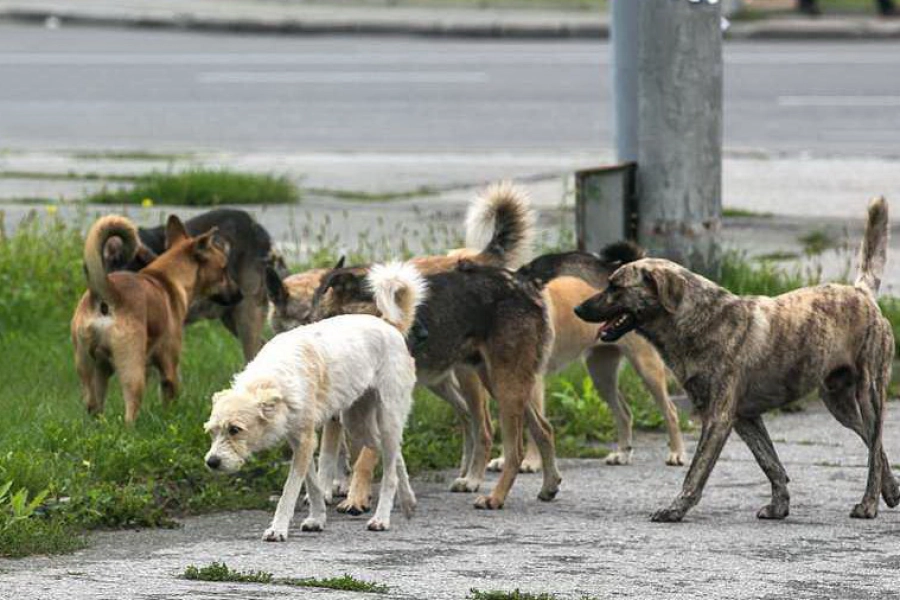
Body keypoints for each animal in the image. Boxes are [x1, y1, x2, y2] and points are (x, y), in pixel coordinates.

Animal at [72, 213, 243, 424]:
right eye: (224, 269)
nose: (240, 295)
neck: (167, 278)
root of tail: (107, 293)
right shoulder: (169, 367)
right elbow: (170, 397)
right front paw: (171, 418)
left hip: (89, 368)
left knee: (93, 405)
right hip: (131, 370)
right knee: (130, 410)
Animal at [576, 199, 900, 524]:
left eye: (615, 287)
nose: (578, 308)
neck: (697, 319)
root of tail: (861, 292)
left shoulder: (717, 418)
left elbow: (696, 472)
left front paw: (675, 508)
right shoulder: (745, 418)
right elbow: (771, 463)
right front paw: (779, 506)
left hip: (869, 394)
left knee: (874, 448)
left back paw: (869, 504)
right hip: (839, 403)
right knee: (875, 445)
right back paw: (891, 489)